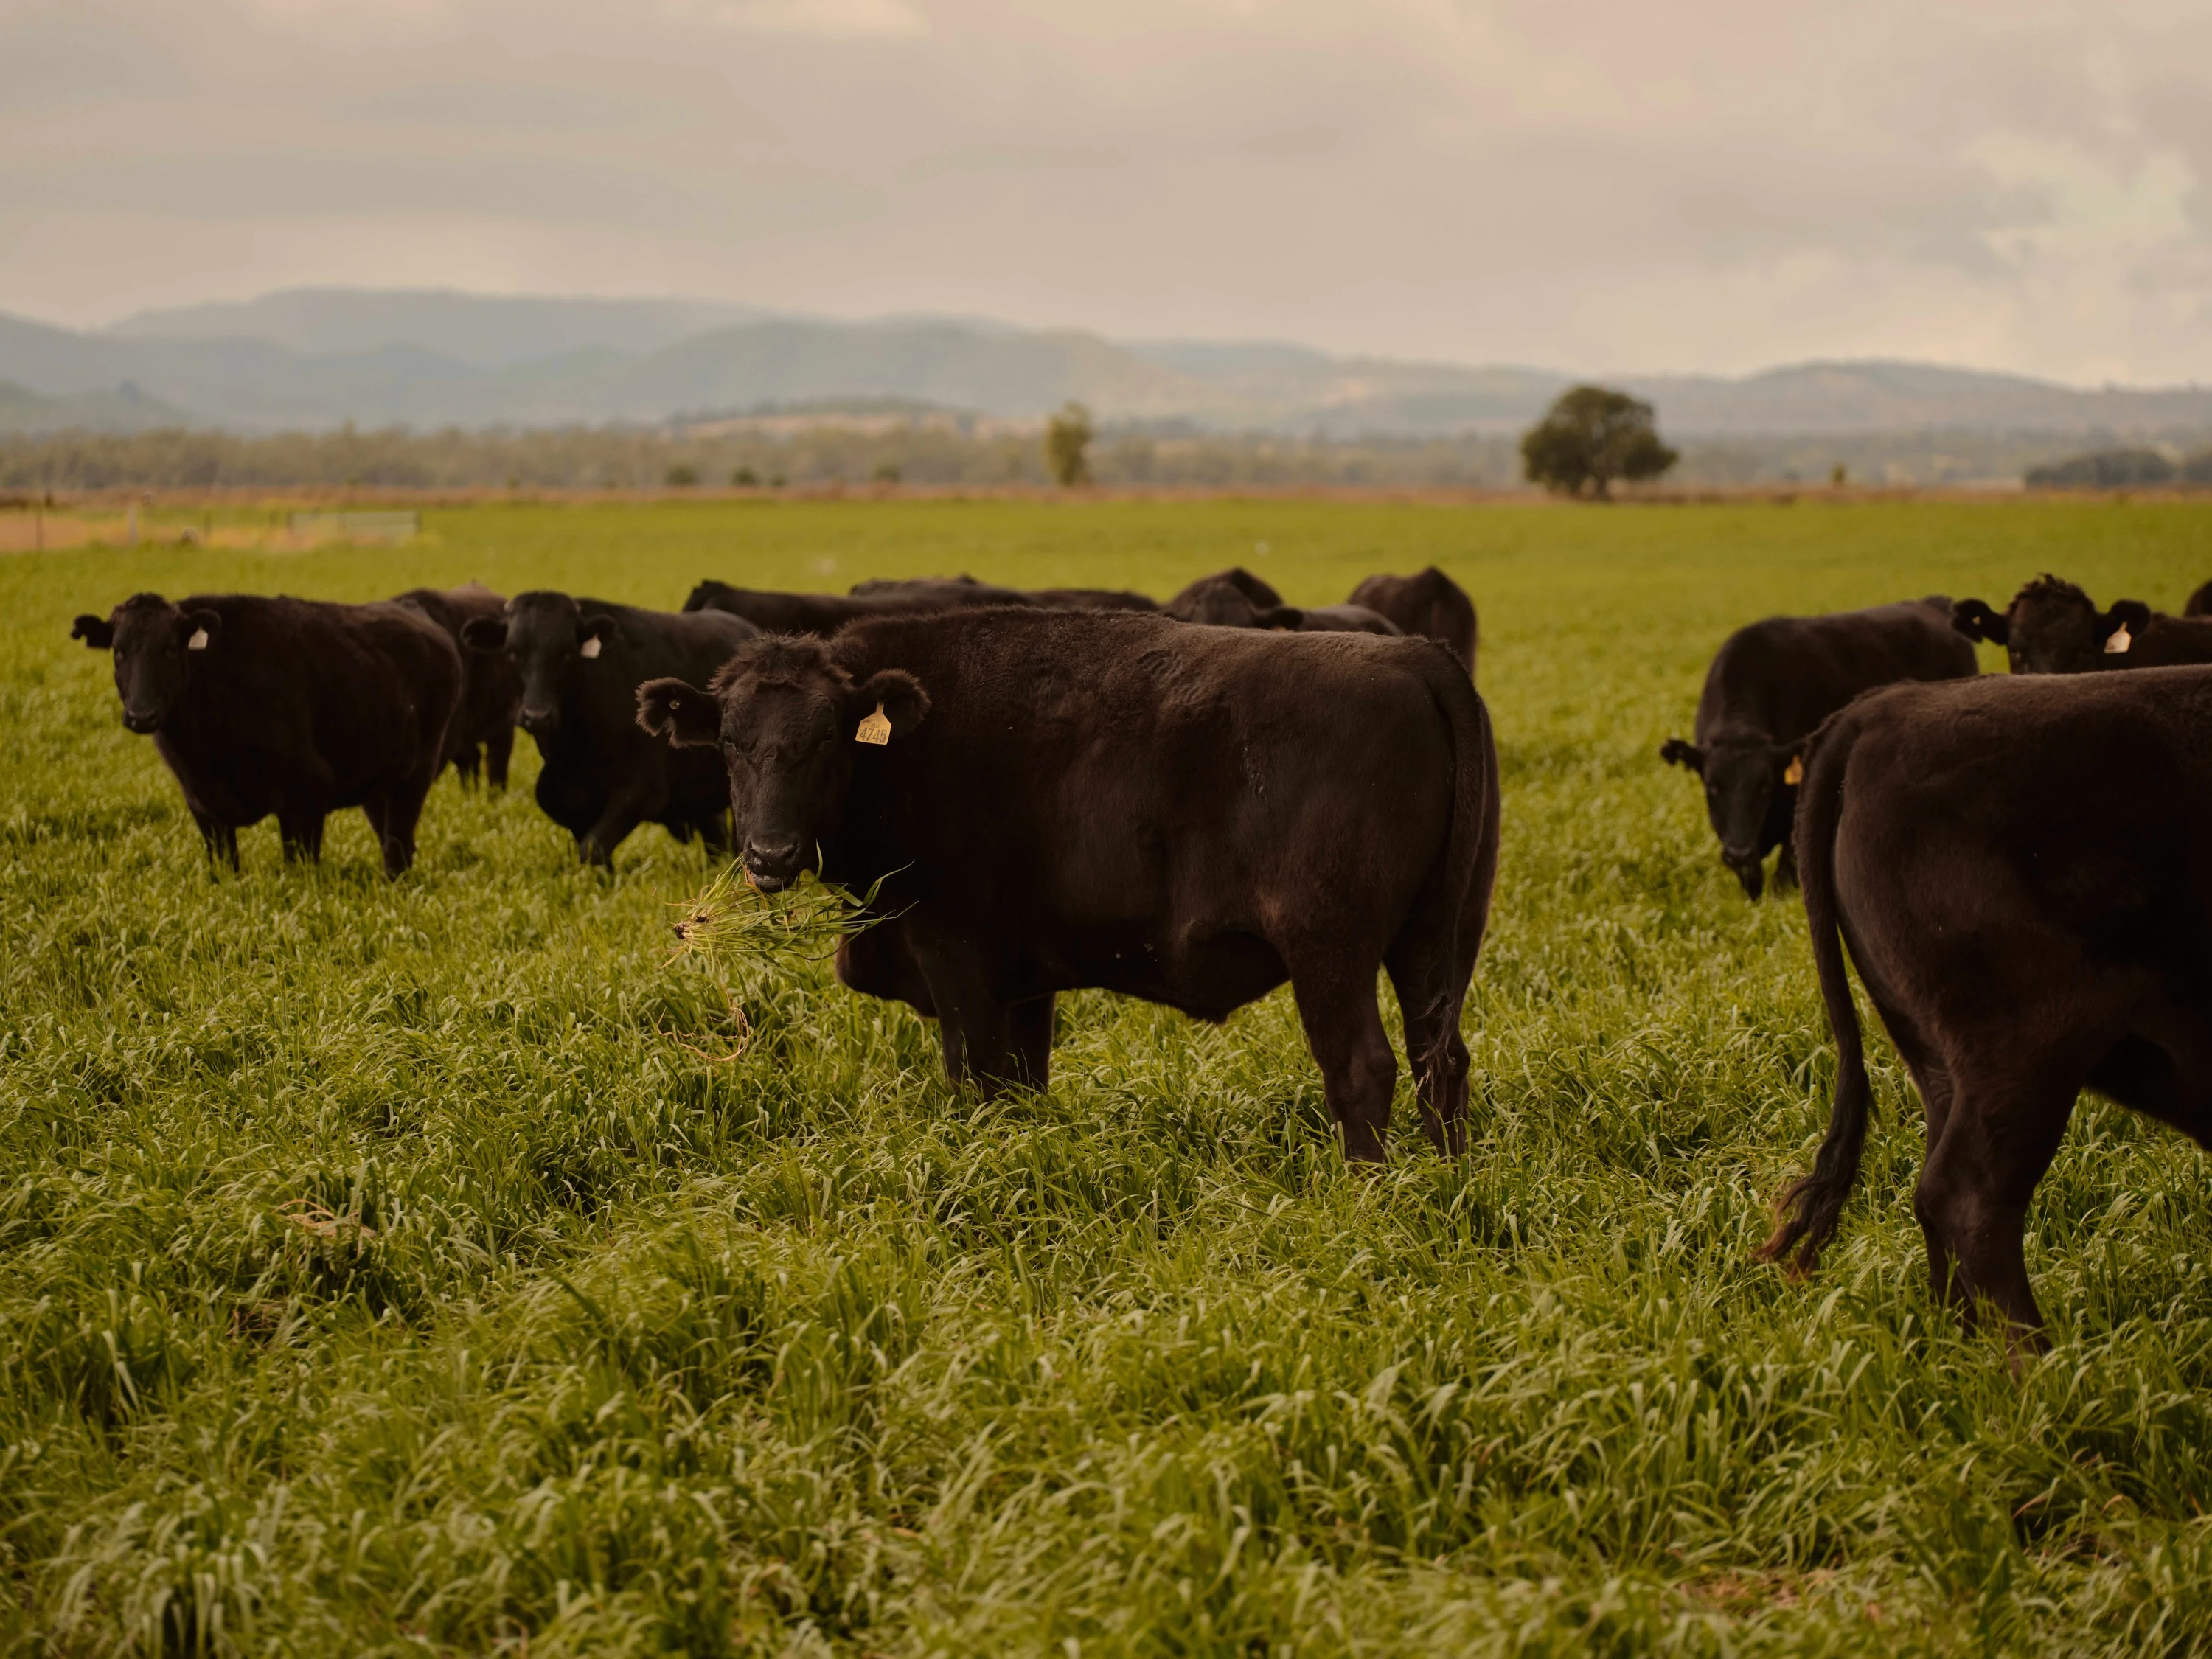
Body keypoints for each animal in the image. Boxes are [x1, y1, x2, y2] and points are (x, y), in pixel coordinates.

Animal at [70, 592, 461, 876]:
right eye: (119, 651)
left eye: (168, 648)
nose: (141, 715)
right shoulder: (203, 808)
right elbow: (226, 869)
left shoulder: (306, 794)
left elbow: (299, 873)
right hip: (377, 782)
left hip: (415, 775)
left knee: (398, 847)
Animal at [459, 592, 757, 865]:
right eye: (512, 653)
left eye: (565, 653)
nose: (537, 715)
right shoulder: (570, 803)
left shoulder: (642, 792)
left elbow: (592, 848)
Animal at [636, 609, 1500, 1162]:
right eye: (730, 741)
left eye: (824, 739)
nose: (769, 854)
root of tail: (1419, 658)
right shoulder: (1026, 983)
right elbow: (1025, 1085)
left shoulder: (956, 958)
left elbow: (975, 1080)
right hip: (1439, 942)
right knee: (1441, 1062)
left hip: (1331, 950)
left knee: (1362, 1069)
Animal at [1760, 665, 2212, 1346]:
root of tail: (1888, 706)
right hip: (2023, 1053)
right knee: (1968, 1200)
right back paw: (2042, 1364)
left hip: (1941, 1060)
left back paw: (1962, 1349)